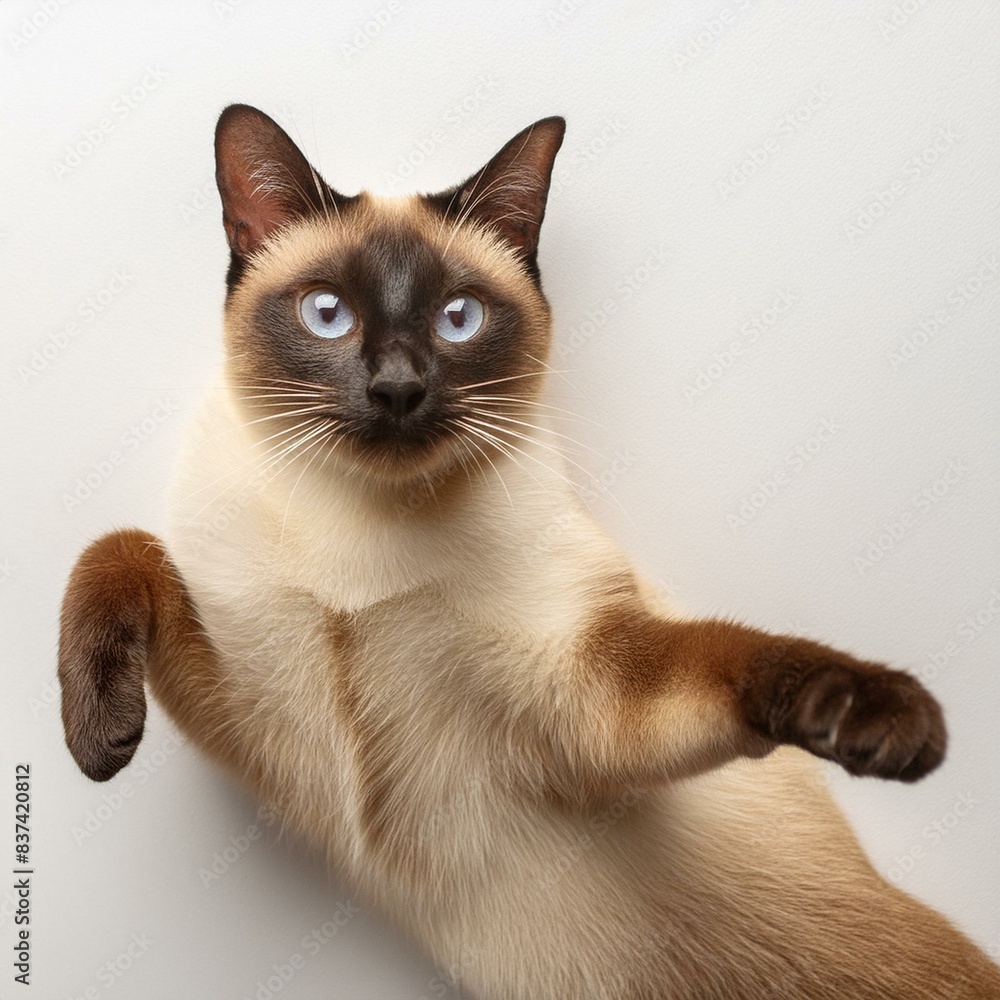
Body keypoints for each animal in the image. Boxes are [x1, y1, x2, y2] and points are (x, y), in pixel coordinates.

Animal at [60, 105, 1000, 996]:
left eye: (458, 318)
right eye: (327, 314)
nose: (397, 388)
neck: (366, 539)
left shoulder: (595, 695)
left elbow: (736, 651)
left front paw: (880, 717)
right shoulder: (249, 716)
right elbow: (123, 547)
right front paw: (98, 740)